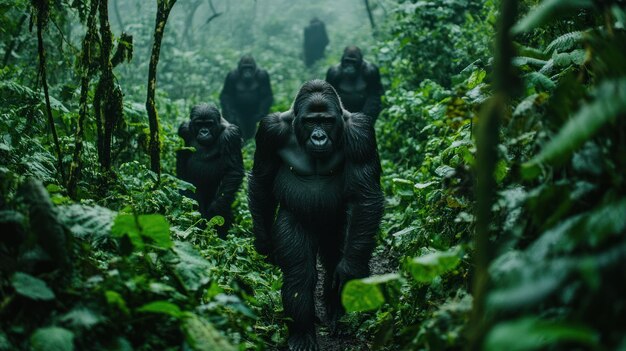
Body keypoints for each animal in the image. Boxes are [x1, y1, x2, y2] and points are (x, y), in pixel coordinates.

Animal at [178, 103, 244, 238]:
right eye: (199, 124)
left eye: (209, 124)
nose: (204, 132)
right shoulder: (184, 131)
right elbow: (182, 167)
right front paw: (187, 198)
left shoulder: (232, 135)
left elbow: (232, 170)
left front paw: (215, 210)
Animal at [246, 80, 382, 351]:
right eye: (311, 121)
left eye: (327, 121)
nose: (319, 136)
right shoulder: (268, 131)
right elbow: (263, 181)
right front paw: (264, 243)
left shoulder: (361, 133)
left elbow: (365, 194)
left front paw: (349, 270)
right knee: (302, 271)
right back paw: (303, 333)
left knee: (340, 254)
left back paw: (339, 317)